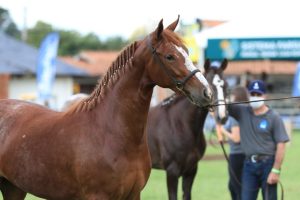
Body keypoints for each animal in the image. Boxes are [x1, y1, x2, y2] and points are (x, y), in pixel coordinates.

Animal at [0, 17, 213, 200]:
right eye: (170, 56)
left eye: (187, 51)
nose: (206, 92)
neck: (109, 131)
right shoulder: (99, 196)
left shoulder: (134, 194)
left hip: (13, 188)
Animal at [146, 59, 227, 200]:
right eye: (210, 83)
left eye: (225, 85)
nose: (221, 116)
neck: (180, 124)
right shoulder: (172, 171)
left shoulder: (191, 170)